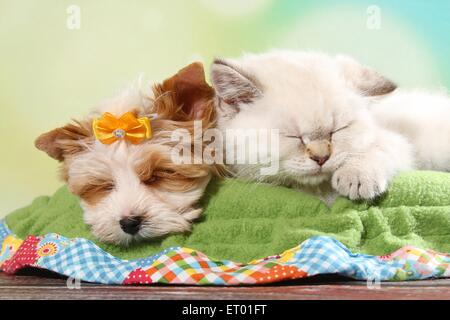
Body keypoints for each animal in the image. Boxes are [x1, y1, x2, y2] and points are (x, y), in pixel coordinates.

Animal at [210, 50, 450, 202]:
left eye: (338, 130)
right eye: (294, 136)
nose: (321, 157)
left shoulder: (396, 140)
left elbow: (375, 148)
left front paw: (356, 175)